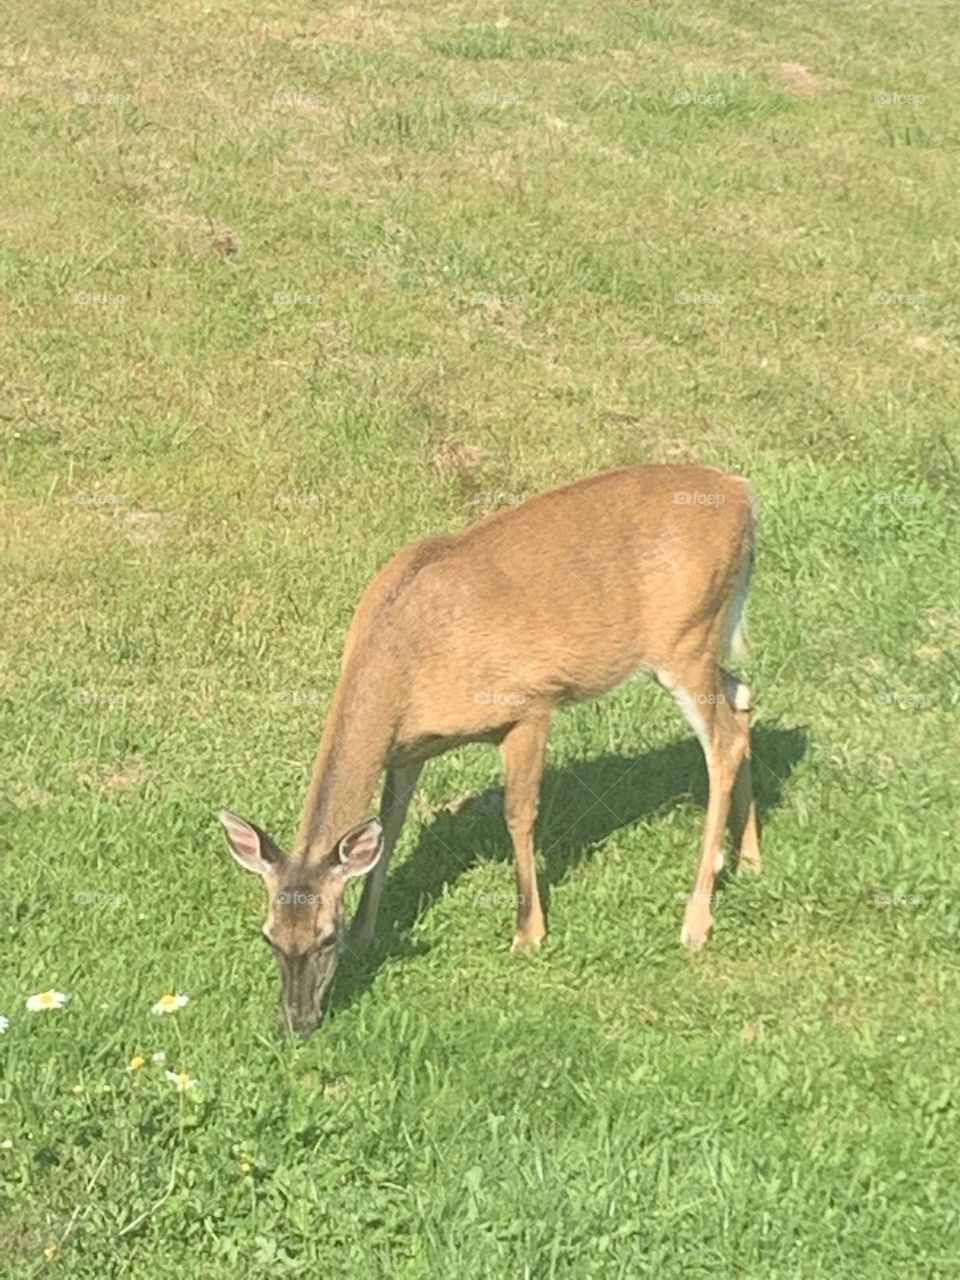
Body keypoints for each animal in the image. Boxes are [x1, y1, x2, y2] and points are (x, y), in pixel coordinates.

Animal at [219, 464, 760, 1038]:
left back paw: (696, 921)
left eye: (326, 935)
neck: (404, 667)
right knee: (743, 698)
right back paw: (749, 859)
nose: (295, 1023)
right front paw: (369, 932)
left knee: (722, 743)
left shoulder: (529, 705)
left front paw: (528, 932)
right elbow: (389, 830)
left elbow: (518, 816)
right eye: (269, 935)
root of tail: (742, 493)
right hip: (703, 645)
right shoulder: (408, 751)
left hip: (687, 638)